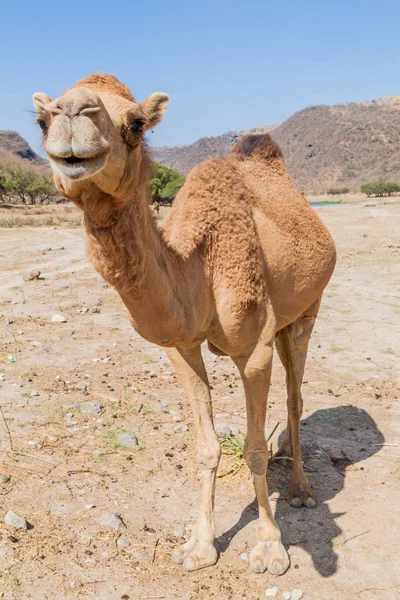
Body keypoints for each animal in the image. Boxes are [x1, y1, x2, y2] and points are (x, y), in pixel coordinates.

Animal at [32, 75, 336, 576]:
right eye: (41, 119)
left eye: (136, 124)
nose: (73, 113)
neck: (201, 267)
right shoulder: (180, 347)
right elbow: (207, 447)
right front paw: (199, 545)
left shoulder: (254, 348)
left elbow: (253, 449)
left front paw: (270, 548)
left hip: (308, 310)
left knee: (295, 399)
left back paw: (301, 491)